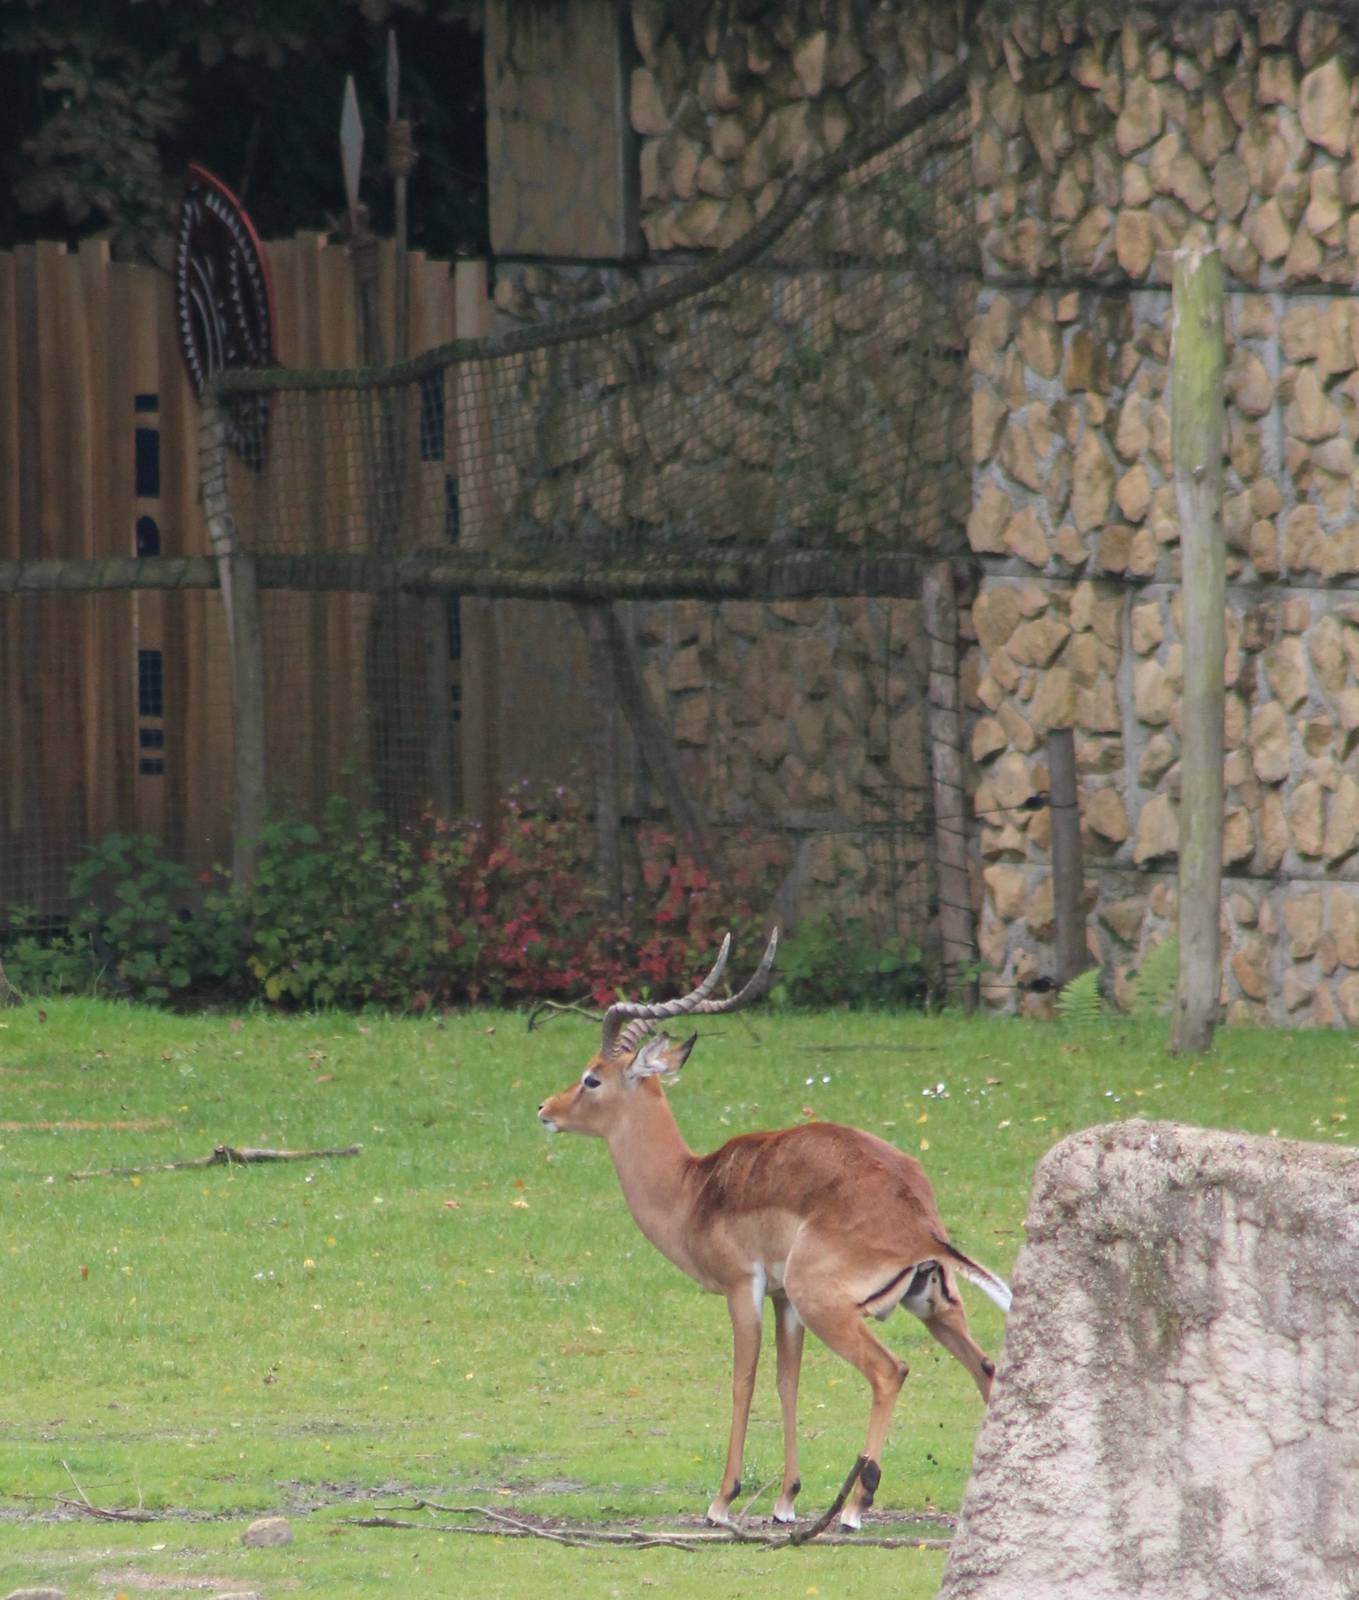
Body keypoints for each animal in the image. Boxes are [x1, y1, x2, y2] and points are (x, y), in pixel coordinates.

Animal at [537, 930, 1011, 1531]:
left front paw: (722, 1500)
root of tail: (919, 1221)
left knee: (891, 1370)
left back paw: (854, 1507)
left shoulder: (745, 1288)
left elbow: (744, 1380)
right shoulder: (784, 1300)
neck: (694, 1186)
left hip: (830, 1306)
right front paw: (786, 1499)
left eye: (592, 1077)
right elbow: (789, 1381)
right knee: (988, 1369)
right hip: (932, 1307)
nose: (545, 1109)